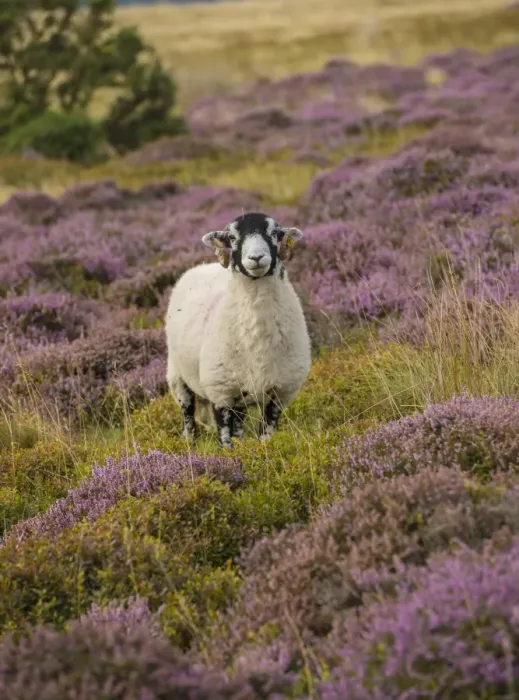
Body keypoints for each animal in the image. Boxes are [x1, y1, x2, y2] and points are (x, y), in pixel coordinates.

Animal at [165, 212, 312, 447]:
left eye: (274, 232)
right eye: (232, 237)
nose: (256, 258)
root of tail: (203, 266)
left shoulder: (280, 394)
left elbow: (266, 436)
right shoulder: (220, 393)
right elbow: (225, 441)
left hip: (241, 394)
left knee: (239, 423)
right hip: (178, 375)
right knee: (187, 415)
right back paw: (189, 443)